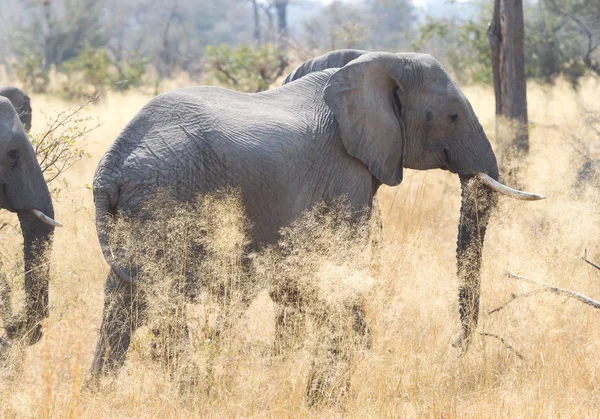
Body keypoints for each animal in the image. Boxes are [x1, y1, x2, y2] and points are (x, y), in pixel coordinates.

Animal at [89, 50, 544, 392]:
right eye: (452, 117)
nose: (454, 345)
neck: (379, 64)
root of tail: (110, 166)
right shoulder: (345, 170)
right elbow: (341, 261)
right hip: (165, 199)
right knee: (157, 296)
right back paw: (193, 391)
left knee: (123, 299)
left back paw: (101, 392)